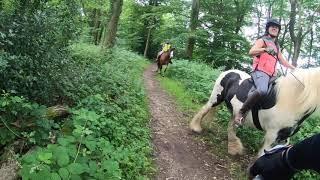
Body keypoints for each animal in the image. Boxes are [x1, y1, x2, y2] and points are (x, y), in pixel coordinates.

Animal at [190, 68, 320, 155]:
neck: (292, 100)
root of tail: (228, 72)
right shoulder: (272, 134)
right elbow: (262, 154)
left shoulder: (283, 138)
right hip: (215, 99)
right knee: (205, 110)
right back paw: (195, 127)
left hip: (236, 113)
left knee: (231, 126)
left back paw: (234, 148)